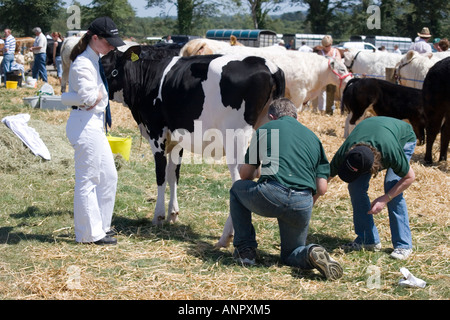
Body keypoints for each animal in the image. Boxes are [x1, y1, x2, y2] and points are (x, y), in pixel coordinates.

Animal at [102, 44, 284, 248]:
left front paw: (158, 216)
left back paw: (226, 237)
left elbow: (160, 174)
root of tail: (269, 66)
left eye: (103, 63)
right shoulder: (176, 138)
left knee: (240, 179)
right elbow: (173, 174)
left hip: (237, 139)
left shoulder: (157, 133)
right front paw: (172, 214)